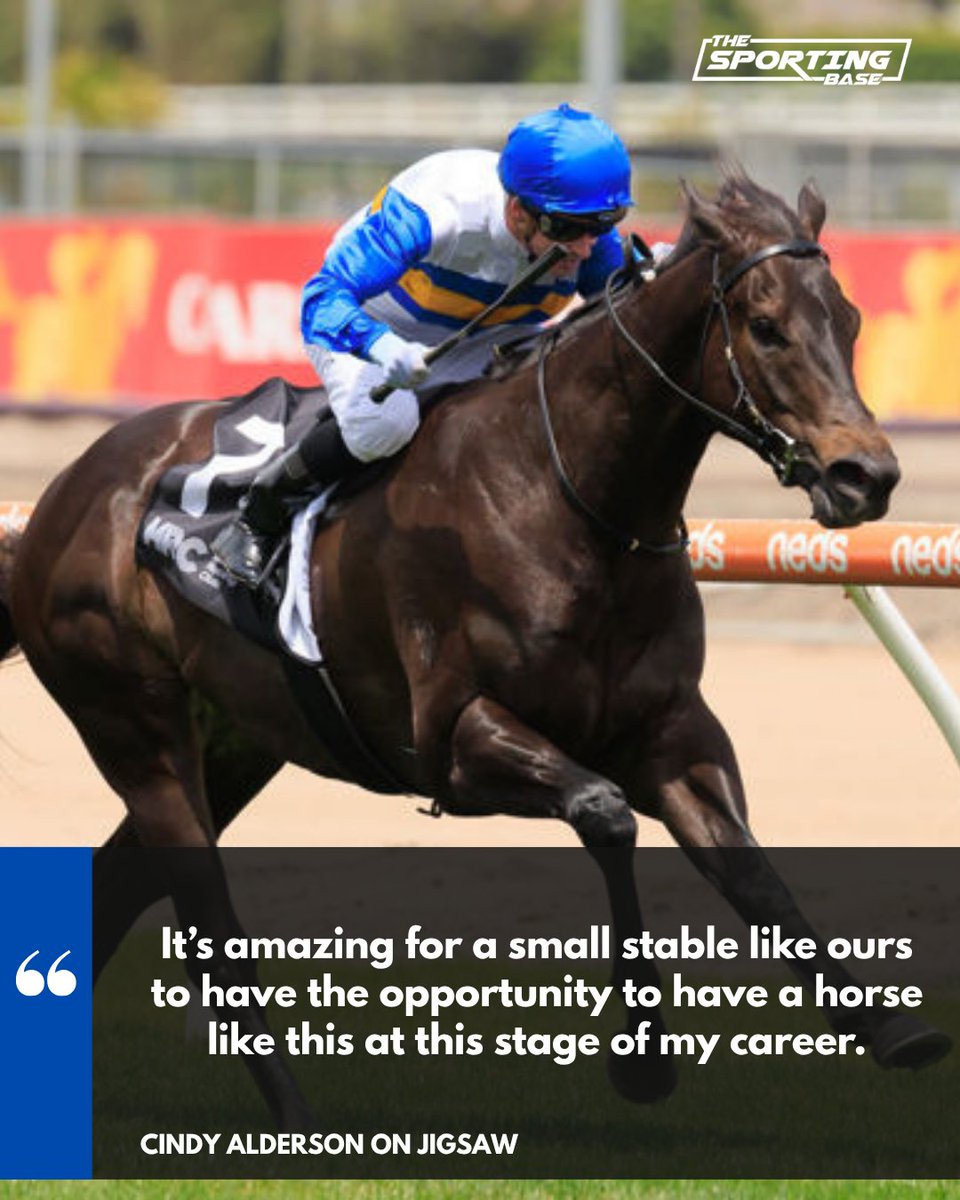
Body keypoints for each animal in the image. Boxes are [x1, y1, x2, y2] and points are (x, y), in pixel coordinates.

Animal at [1, 170, 948, 1131]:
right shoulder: (457, 741)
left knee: (117, 882)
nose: (865, 477)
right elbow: (606, 815)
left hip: (236, 741)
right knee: (204, 912)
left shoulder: (673, 730)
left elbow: (750, 870)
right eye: (765, 325)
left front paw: (887, 1030)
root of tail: (65, 494)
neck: (569, 500)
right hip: (134, 723)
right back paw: (296, 1111)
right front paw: (642, 1061)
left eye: (851, 319)